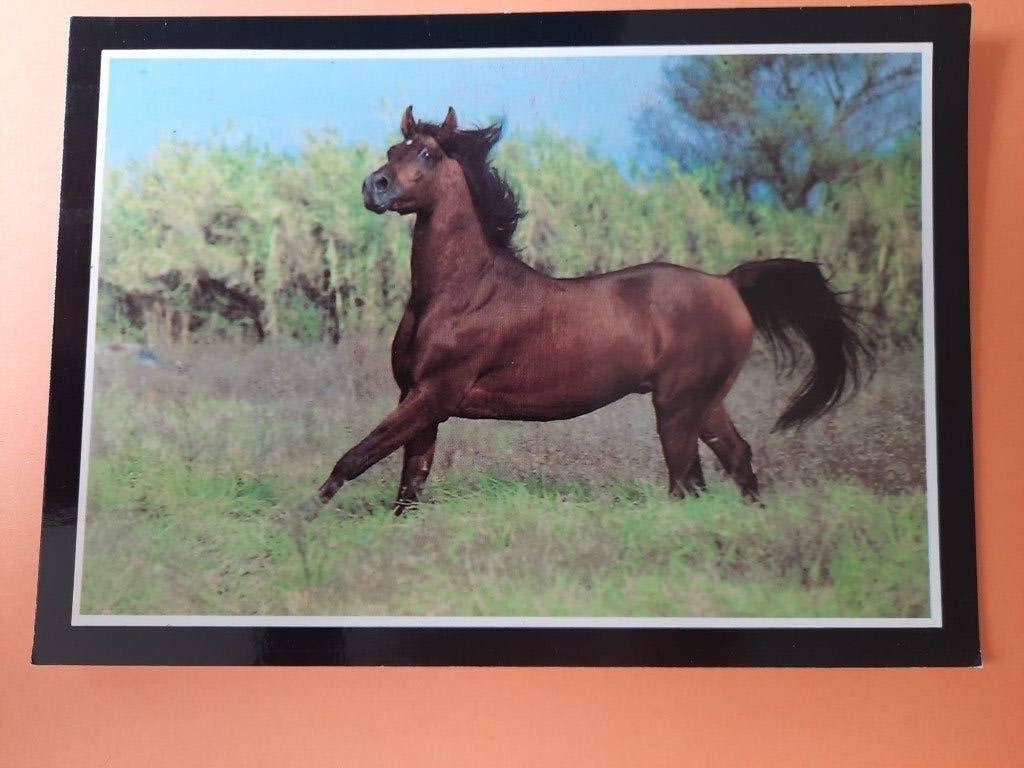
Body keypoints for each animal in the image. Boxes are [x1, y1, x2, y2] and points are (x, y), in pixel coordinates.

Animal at [313, 106, 871, 515]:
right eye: (393, 150)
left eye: (426, 153)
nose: (375, 186)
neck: (460, 294)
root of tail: (727, 284)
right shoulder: (419, 398)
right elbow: (410, 485)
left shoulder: (434, 394)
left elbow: (354, 458)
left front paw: (304, 518)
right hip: (703, 401)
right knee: (734, 460)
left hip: (677, 405)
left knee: (686, 481)